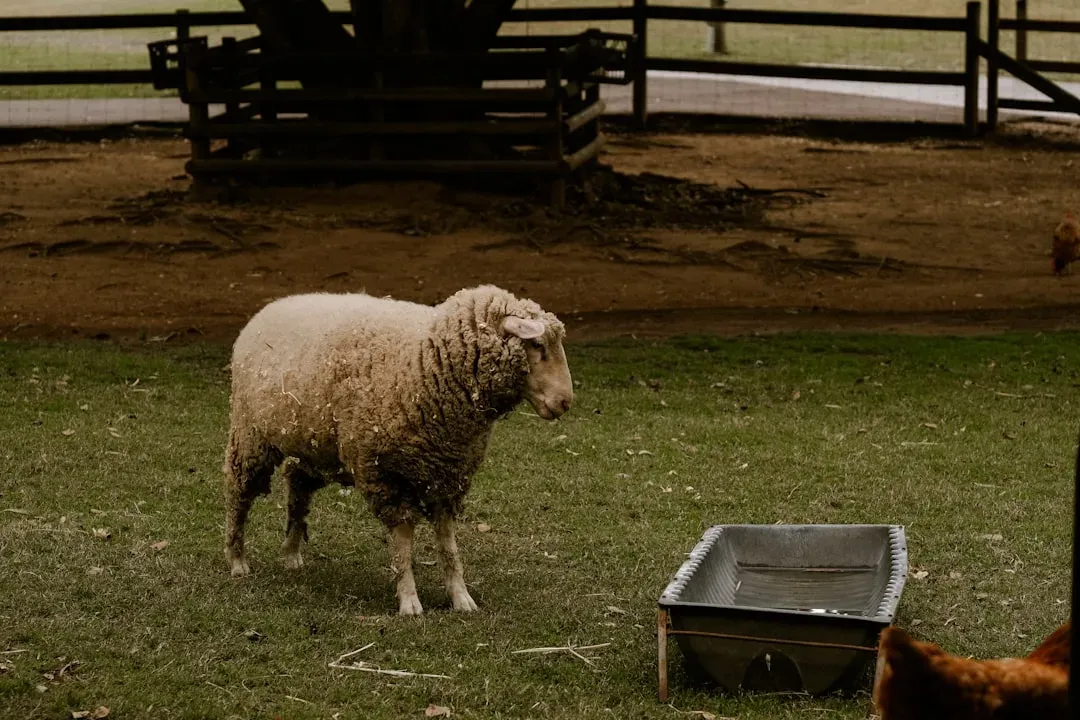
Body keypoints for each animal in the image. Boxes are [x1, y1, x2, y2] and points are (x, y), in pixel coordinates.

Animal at [222, 285, 574, 615]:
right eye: (537, 345)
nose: (565, 401)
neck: (427, 359)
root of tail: (273, 305)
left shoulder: (447, 476)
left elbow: (448, 543)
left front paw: (460, 596)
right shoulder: (385, 474)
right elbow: (403, 542)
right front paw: (409, 599)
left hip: (311, 446)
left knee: (297, 484)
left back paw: (292, 552)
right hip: (250, 437)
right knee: (239, 494)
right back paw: (237, 559)